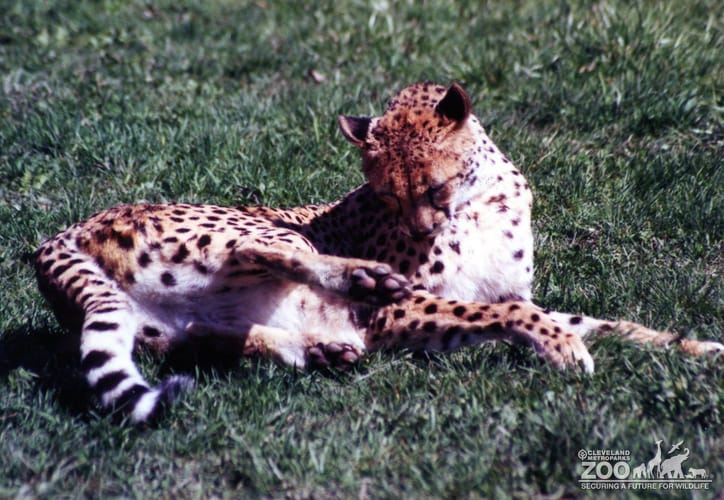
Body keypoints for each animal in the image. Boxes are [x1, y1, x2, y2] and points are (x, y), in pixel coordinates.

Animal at [34, 82, 723, 424]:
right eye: (386, 195)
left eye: (433, 188)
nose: (417, 233)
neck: (480, 201)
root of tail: (58, 234)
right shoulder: (405, 310)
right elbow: (513, 315)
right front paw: (562, 348)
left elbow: (611, 322)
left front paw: (697, 349)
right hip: (256, 229)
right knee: (265, 247)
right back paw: (357, 282)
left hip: (164, 326)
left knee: (203, 338)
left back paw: (317, 350)